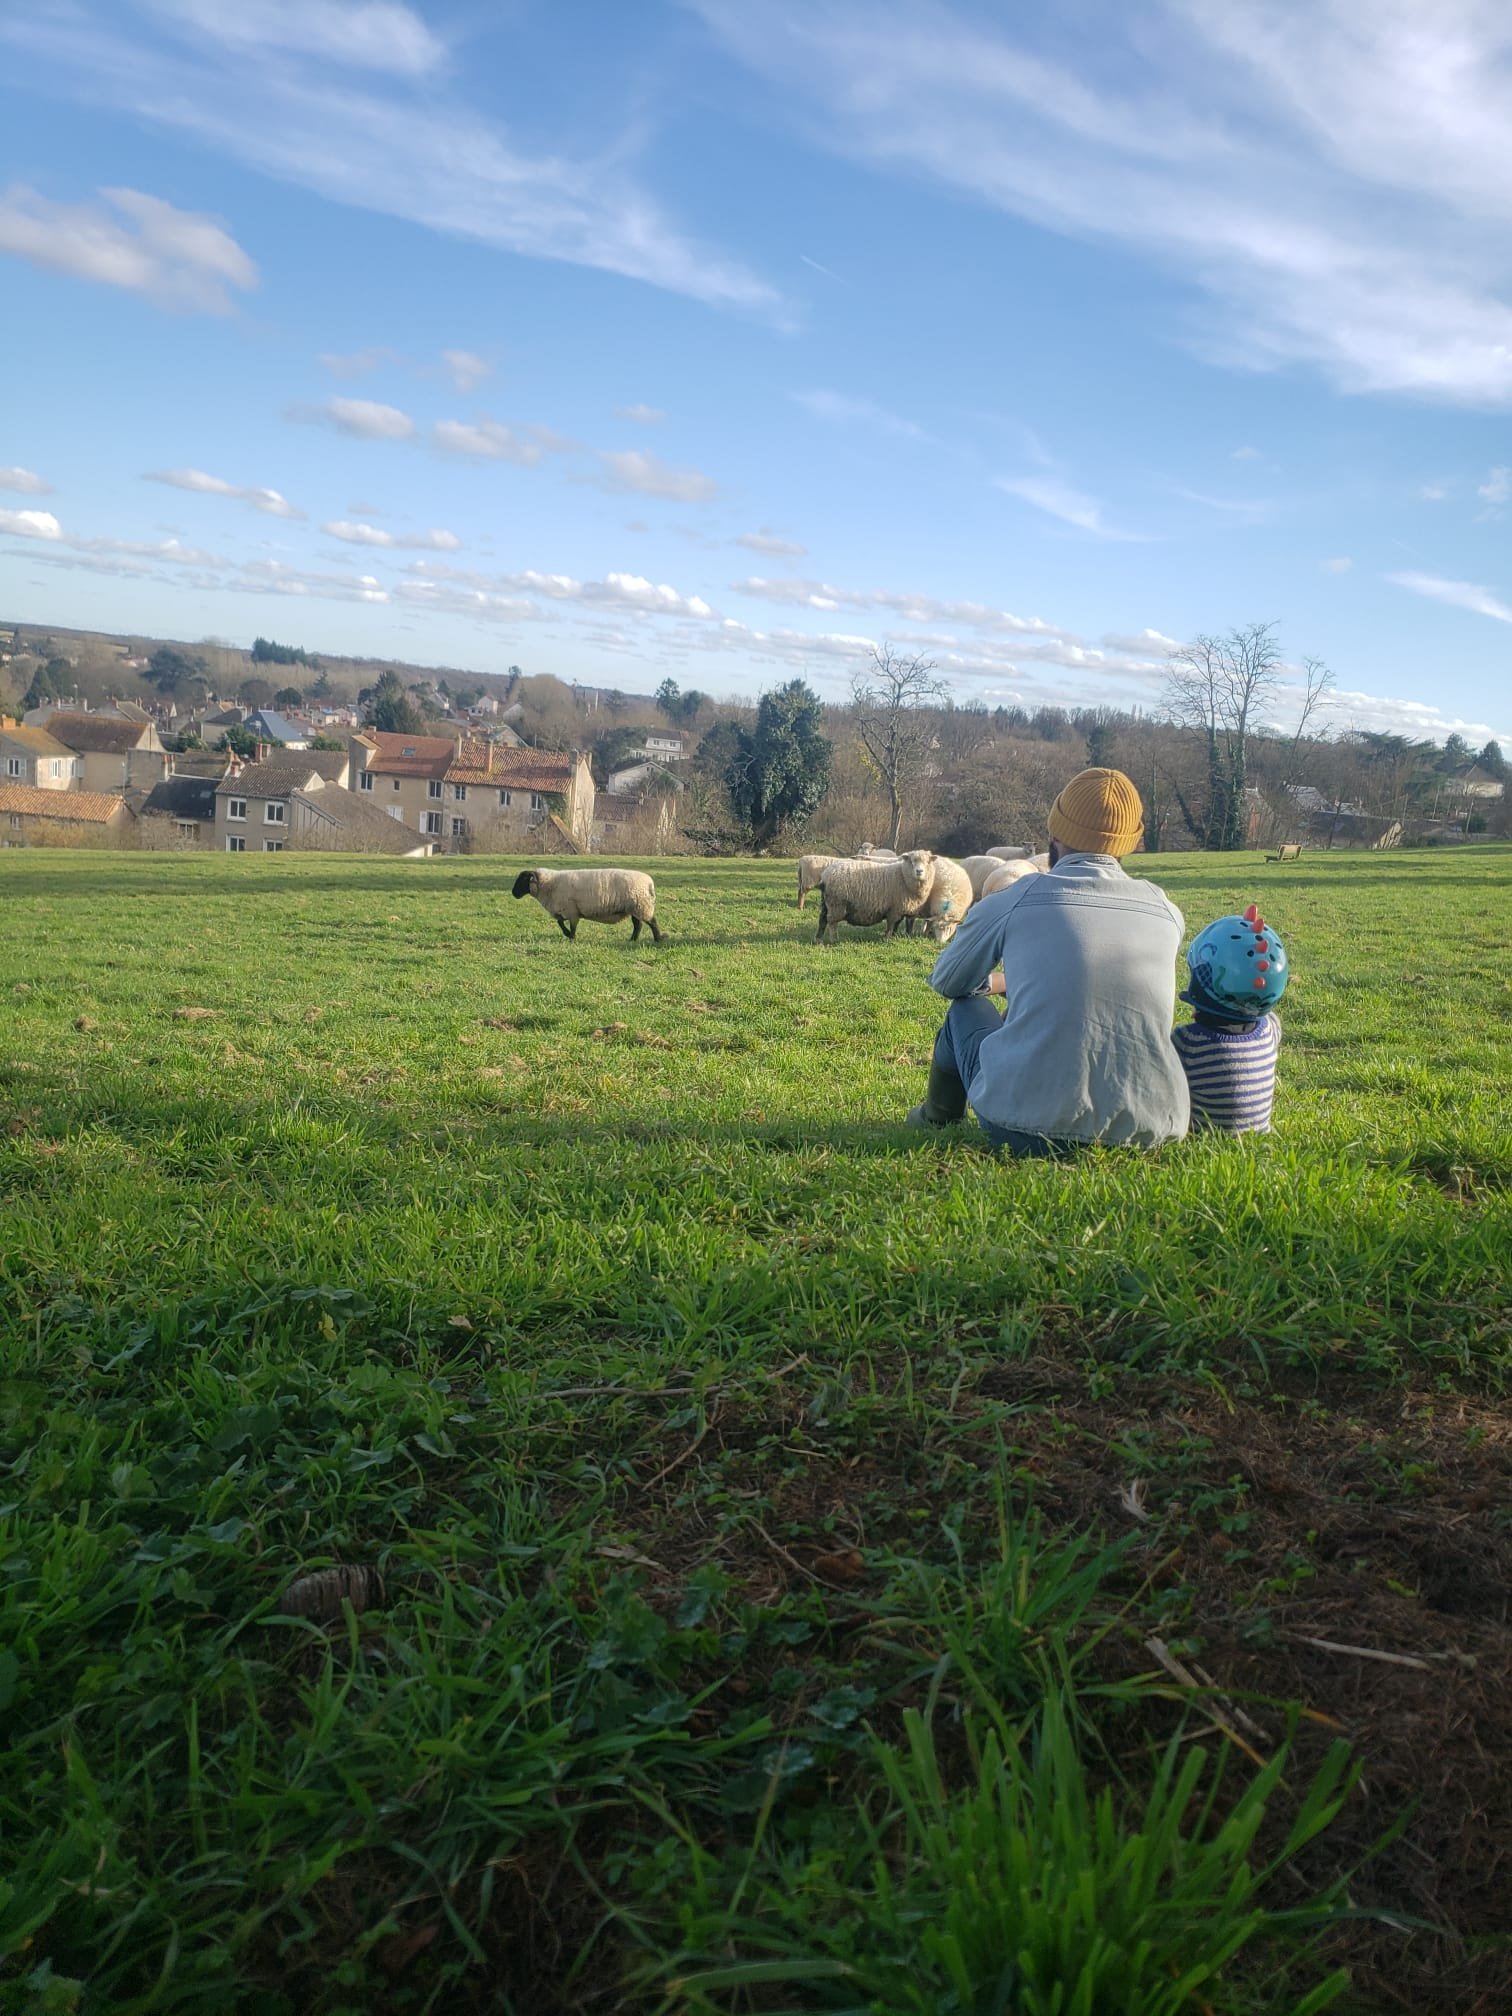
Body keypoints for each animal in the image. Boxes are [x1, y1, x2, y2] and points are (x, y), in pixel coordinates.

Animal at [511, 866, 662, 942]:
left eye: (523, 879)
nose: (513, 893)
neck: (548, 884)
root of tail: (649, 883)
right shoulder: (563, 910)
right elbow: (560, 923)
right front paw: (567, 934)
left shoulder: (572, 911)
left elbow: (572, 927)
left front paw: (571, 938)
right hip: (634, 908)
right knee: (638, 925)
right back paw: (632, 940)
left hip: (641, 906)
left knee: (652, 922)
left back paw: (657, 939)